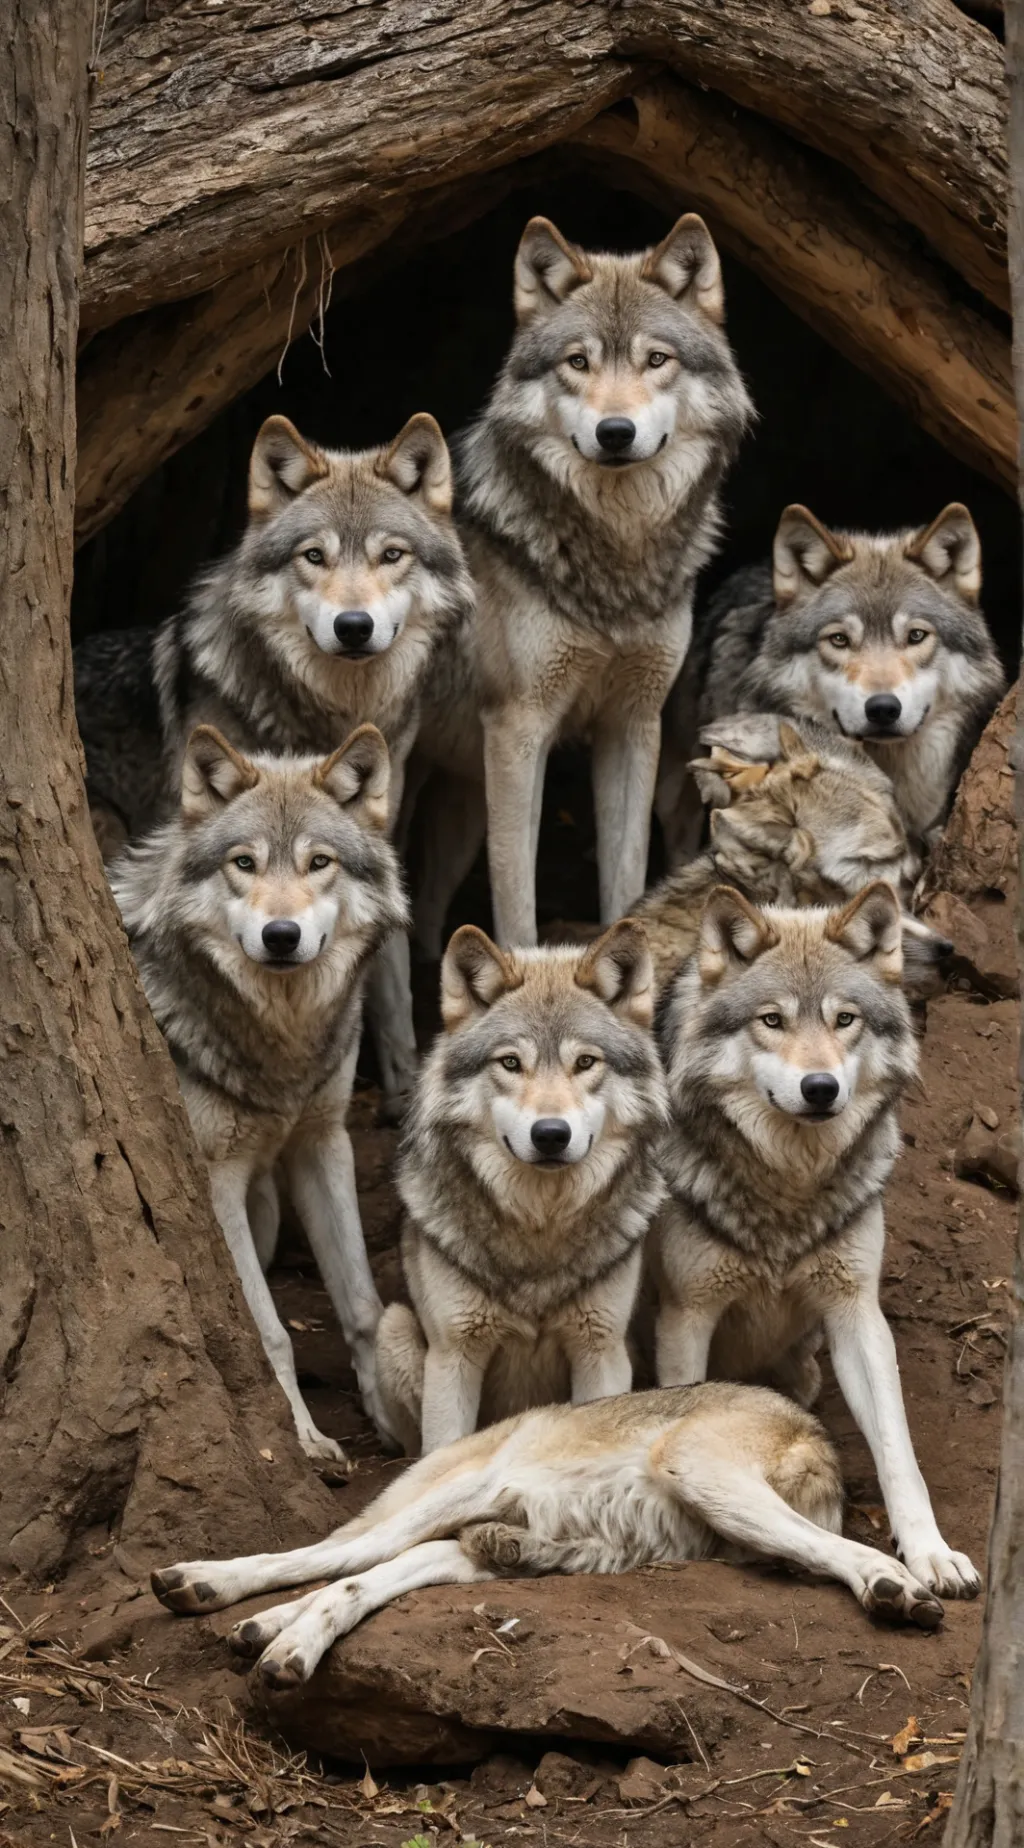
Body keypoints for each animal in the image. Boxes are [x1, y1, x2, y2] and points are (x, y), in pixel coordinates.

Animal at [77, 412, 473, 1105]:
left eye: (391, 555)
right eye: (313, 555)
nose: (353, 625)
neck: (330, 720)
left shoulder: (377, 831)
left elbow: (387, 966)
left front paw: (401, 1076)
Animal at [109, 723, 408, 1464]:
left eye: (319, 862)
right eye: (243, 863)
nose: (281, 935)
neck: (280, 1045)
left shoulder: (322, 1142)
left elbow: (362, 1304)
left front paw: (392, 1418)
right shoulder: (213, 1179)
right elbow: (267, 1329)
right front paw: (302, 1436)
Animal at [374, 920, 669, 1454]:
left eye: (585, 1062)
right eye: (510, 1063)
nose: (550, 1134)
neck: (540, 1228)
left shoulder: (601, 1350)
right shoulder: (455, 1356)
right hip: (395, 1330)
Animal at [408, 211, 753, 957]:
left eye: (656, 360)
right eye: (578, 362)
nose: (615, 432)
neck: (615, 560)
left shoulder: (633, 723)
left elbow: (626, 878)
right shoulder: (519, 729)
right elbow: (516, 907)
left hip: (458, 800)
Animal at [652, 881, 980, 1600]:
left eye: (844, 1020)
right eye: (772, 1021)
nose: (821, 1088)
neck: (789, 1186)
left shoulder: (856, 1313)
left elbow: (899, 1453)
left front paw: (932, 1553)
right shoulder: (686, 1315)